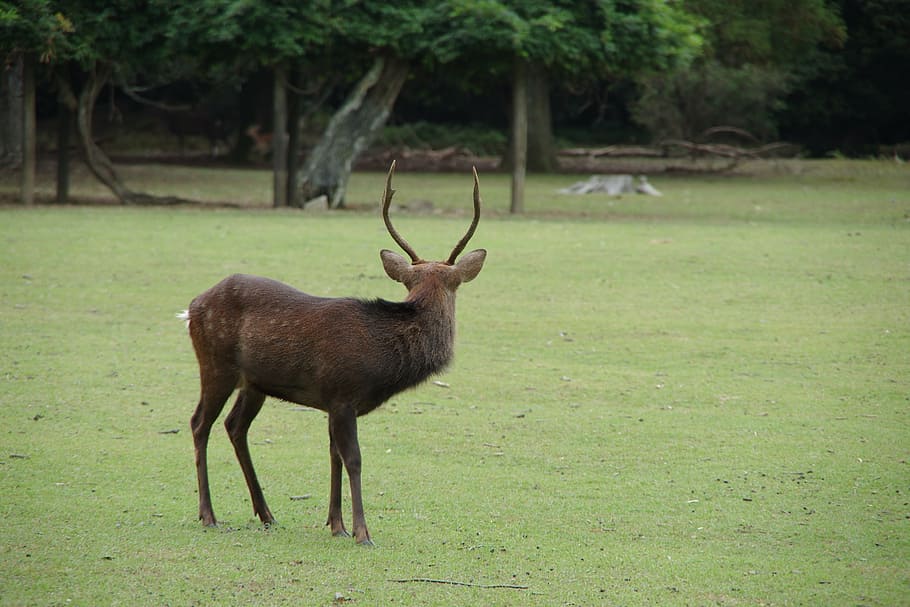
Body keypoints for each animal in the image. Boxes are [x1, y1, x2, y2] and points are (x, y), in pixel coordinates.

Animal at [179, 160, 486, 545]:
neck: (382, 359)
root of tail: (191, 306)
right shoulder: (342, 393)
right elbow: (353, 459)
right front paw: (362, 532)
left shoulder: (330, 399)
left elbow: (333, 456)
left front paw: (336, 525)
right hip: (215, 364)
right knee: (199, 423)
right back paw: (208, 515)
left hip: (254, 382)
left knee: (235, 426)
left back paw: (267, 514)